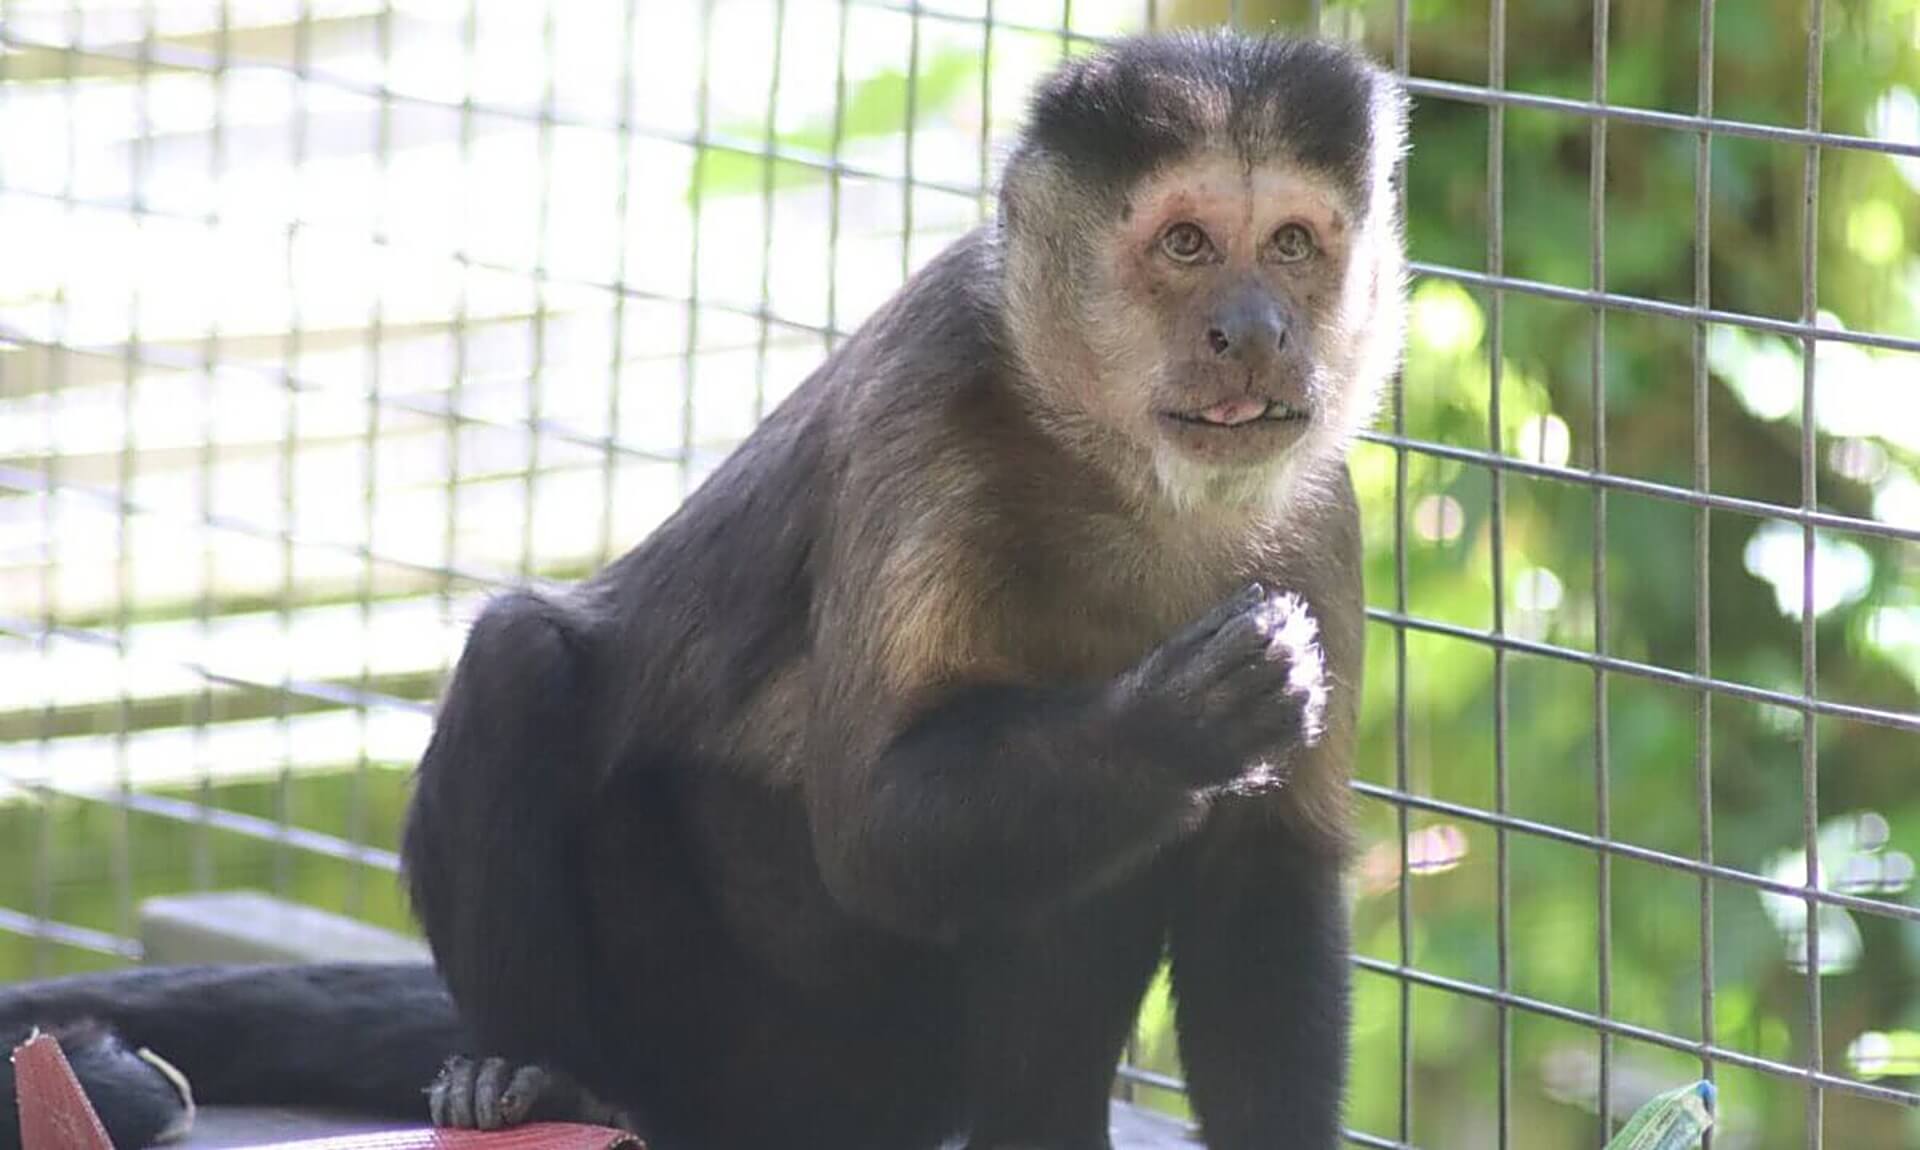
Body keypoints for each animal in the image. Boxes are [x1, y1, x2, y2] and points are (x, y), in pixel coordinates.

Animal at [0, 29, 1407, 1150]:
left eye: (1292, 245)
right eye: (1185, 243)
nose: (1255, 330)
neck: (1122, 471)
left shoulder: (1320, 506)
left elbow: (1263, 876)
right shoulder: (937, 401)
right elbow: (878, 830)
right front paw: (1176, 714)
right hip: (720, 1031)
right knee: (522, 663)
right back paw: (533, 1074)